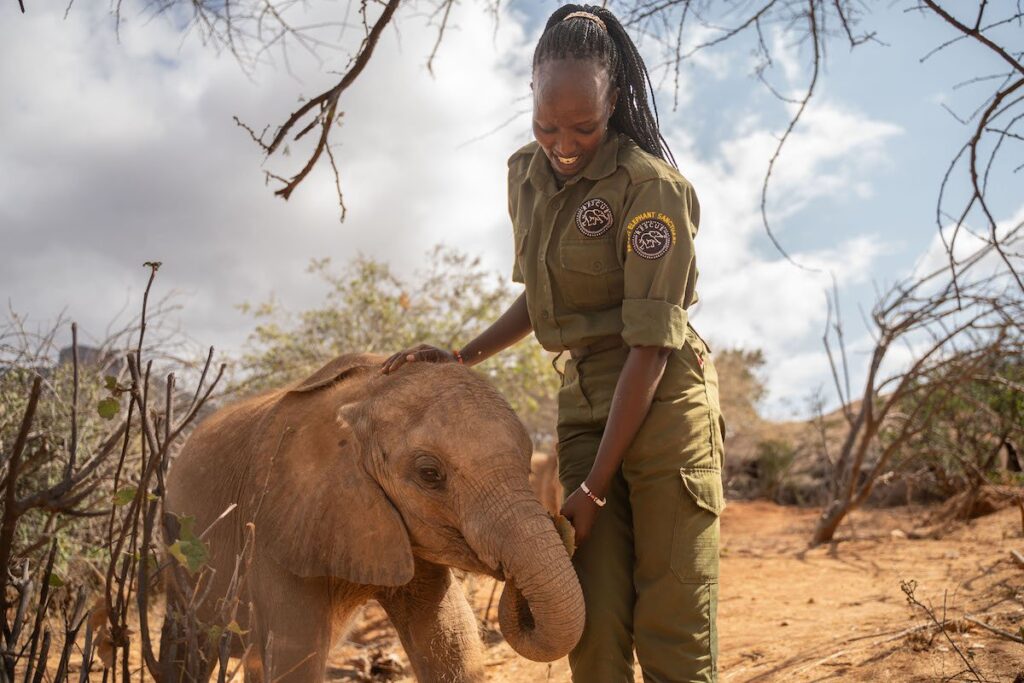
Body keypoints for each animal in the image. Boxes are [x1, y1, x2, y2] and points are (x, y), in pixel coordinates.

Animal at [160, 353, 585, 682]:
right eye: (430, 474)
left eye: (527, 464)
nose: (563, 522)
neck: (366, 395)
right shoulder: (272, 522)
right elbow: (296, 653)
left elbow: (449, 638)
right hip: (176, 545)